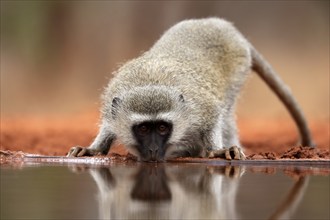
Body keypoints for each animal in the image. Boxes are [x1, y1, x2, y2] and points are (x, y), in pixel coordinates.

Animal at [66, 17, 312, 162]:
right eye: (143, 129)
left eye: (163, 128)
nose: (153, 151)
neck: (150, 82)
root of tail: (222, 25)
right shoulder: (113, 102)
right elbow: (108, 126)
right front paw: (95, 149)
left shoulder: (201, 108)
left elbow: (214, 116)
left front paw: (216, 150)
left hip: (239, 68)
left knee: (226, 114)